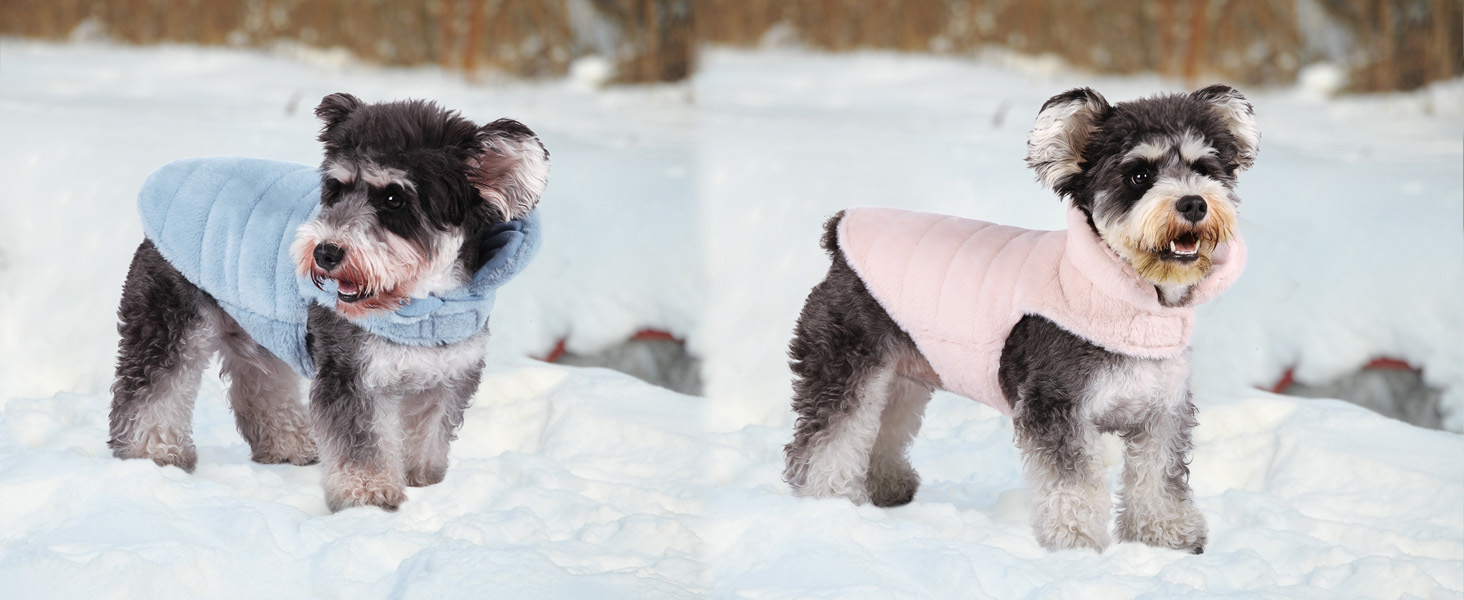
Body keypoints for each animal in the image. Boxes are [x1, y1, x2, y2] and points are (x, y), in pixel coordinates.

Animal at [109, 93, 550, 512]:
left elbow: (427, 433)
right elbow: (362, 443)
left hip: (264, 332)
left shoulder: (447, 376)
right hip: (169, 320)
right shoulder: (351, 374)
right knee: (151, 389)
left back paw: (289, 445)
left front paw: (421, 478)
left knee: (259, 387)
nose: (325, 253)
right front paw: (366, 494)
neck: (423, 303)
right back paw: (152, 452)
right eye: (336, 189)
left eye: (395, 198)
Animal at [778, 84, 1259, 553]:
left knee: (883, 429)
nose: (1194, 204)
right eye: (1139, 175)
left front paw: (1165, 532)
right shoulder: (1056, 405)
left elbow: (1160, 477)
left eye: (1206, 168)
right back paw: (826, 503)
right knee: (829, 437)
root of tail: (839, 233)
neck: (1131, 299)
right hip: (845, 363)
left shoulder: (1162, 412)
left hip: (903, 377)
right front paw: (1075, 541)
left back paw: (886, 486)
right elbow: (1071, 482)